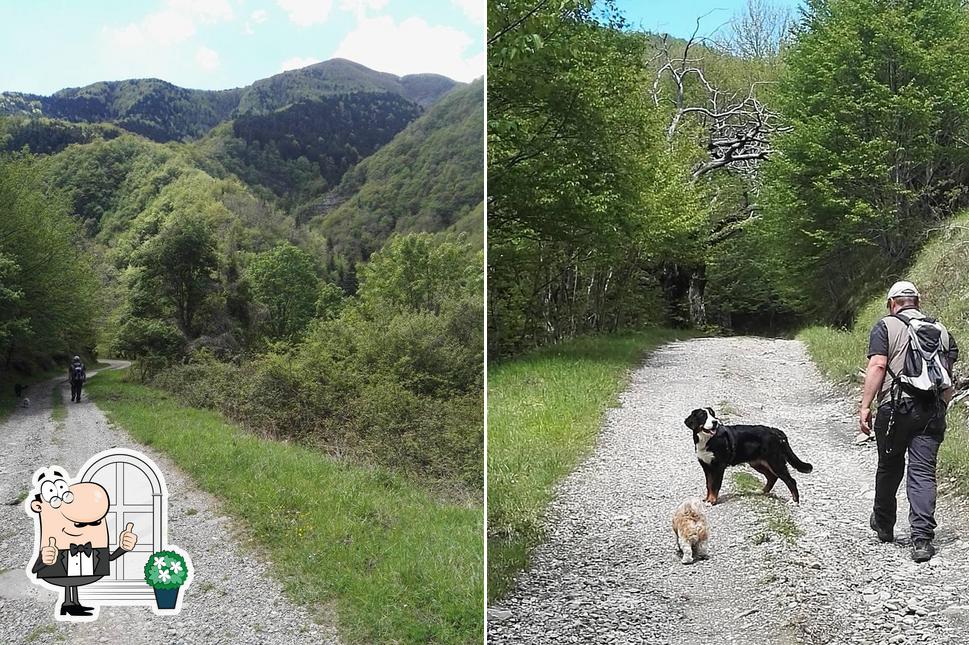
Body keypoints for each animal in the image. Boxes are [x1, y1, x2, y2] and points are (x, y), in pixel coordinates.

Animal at [684, 408, 812, 504]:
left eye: (712, 415)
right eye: (703, 416)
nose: (715, 422)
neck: (707, 440)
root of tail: (775, 431)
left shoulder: (719, 466)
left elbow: (715, 485)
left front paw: (712, 501)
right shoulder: (706, 465)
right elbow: (709, 484)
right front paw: (707, 499)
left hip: (775, 462)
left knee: (791, 481)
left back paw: (794, 501)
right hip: (757, 463)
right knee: (772, 477)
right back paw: (761, 491)